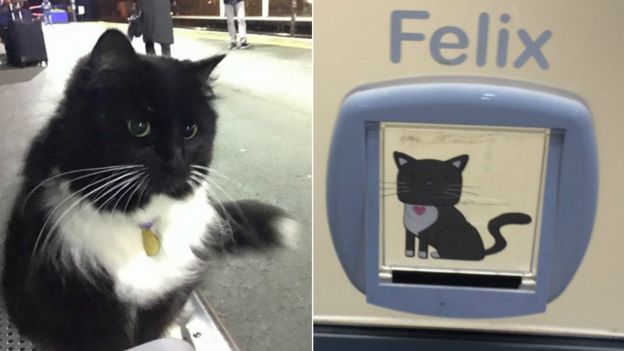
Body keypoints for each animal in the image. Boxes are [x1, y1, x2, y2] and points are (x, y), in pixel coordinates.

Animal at [2, 30, 296, 351]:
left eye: (190, 131)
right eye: (139, 126)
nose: (176, 159)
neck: (139, 220)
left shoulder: (168, 293)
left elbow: (154, 328)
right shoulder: (77, 307)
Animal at [392, 151, 528, 262]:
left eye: (445, 177)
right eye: (412, 175)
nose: (428, 182)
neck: (422, 207)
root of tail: (482, 252)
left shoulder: (426, 233)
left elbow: (422, 246)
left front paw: (422, 256)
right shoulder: (408, 231)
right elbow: (409, 243)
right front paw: (409, 254)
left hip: (446, 234)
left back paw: (437, 254)